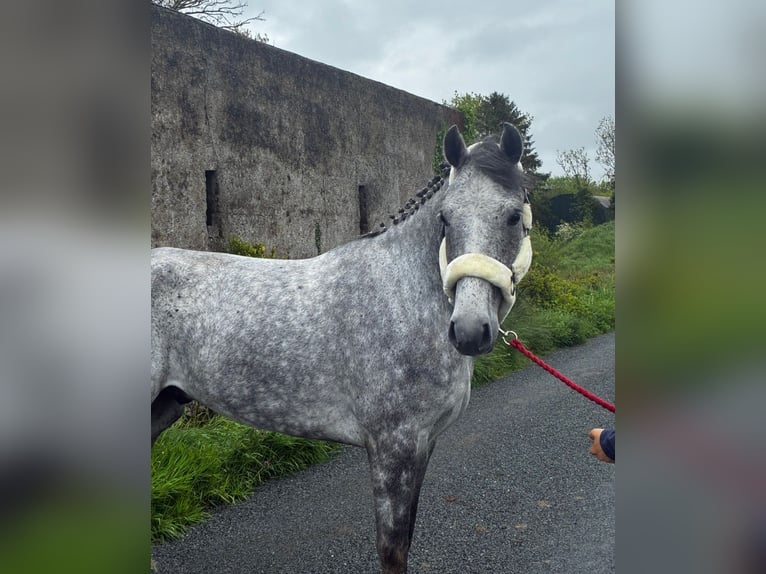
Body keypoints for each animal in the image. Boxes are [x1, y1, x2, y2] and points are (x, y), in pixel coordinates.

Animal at [151, 123, 533, 574]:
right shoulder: (393, 448)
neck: (403, 295)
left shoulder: (423, 445)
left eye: (513, 215)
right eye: (445, 218)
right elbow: (392, 549)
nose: (470, 330)